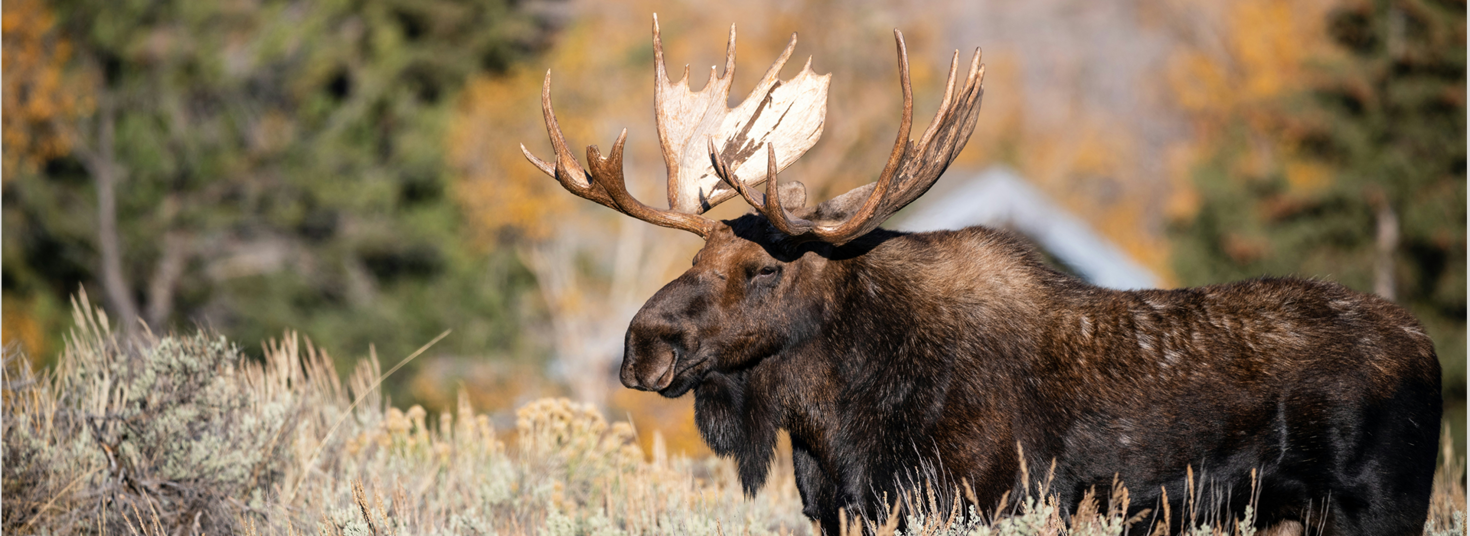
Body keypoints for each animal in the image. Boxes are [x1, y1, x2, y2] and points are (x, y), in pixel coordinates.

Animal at [521, 16, 1442, 536]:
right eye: (693, 259)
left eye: (760, 270)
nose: (642, 346)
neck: (833, 420)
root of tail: (1428, 348)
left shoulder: (976, 499)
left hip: (1382, 505)